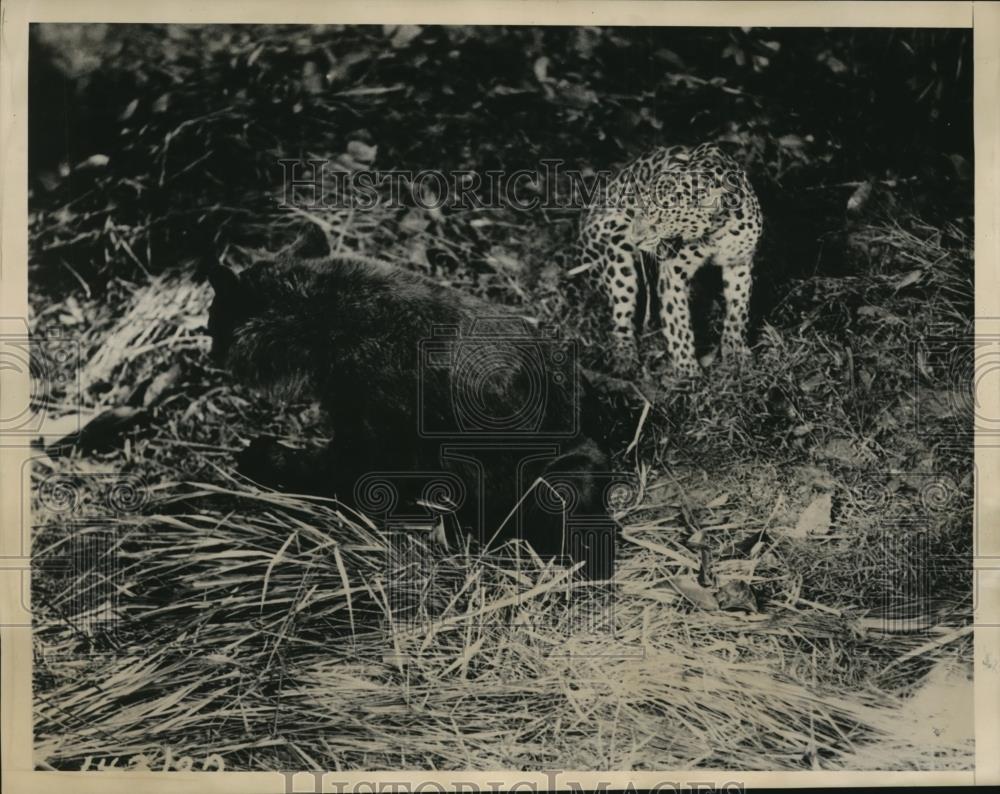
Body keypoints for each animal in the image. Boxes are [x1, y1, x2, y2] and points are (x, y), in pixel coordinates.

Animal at [205, 256, 624, 580]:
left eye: (212, 323)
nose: (210, 354)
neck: (321, 320)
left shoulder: (375, 422)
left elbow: (342, 471)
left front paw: (264, 459)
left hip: (553, 478)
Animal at [576, 144, 760, 378]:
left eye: (660, 219)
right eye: (637, 207)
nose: (636, 238)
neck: (717, 229)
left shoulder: (739, 262)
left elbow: (739, 309)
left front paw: (735, 350)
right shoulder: (674, 272)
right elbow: (677, 323)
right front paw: (688, 372)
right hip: (616, 249)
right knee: (621, 316)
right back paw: (624, 355)